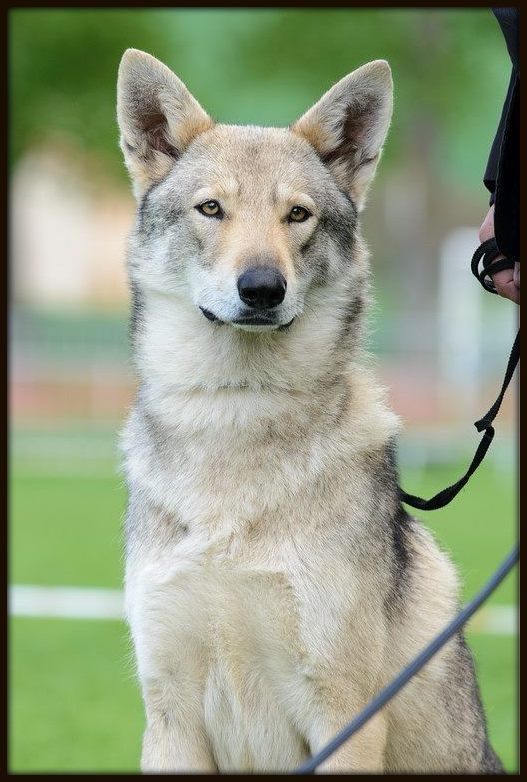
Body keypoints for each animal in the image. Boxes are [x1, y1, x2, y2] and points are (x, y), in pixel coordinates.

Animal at [117, 50, 506, 776]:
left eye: (297, 215)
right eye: (210, 208)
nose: (261, 289)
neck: (237, 413)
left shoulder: (343, 715)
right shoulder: (169, 716)